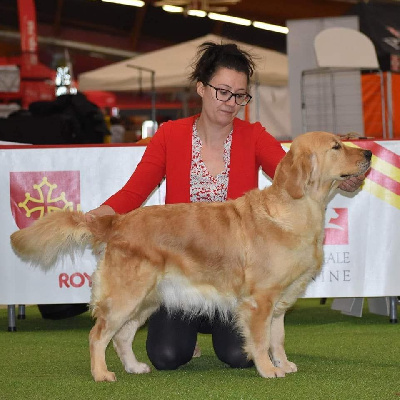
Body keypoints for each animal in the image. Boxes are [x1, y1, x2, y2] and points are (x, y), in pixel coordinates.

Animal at [10, 130, 372, 382]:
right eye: (336, 146)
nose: (369, 151)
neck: (296, 210)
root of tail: (116, 221)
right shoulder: (260, 301)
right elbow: (259, 340)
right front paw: (268, 370)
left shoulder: (279, 303)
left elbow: (277, 338)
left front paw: (283, 364)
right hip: (128, 295)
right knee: (98, 335)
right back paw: (101, 374)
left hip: (146, 300)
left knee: (122, 337)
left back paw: (135, 367)